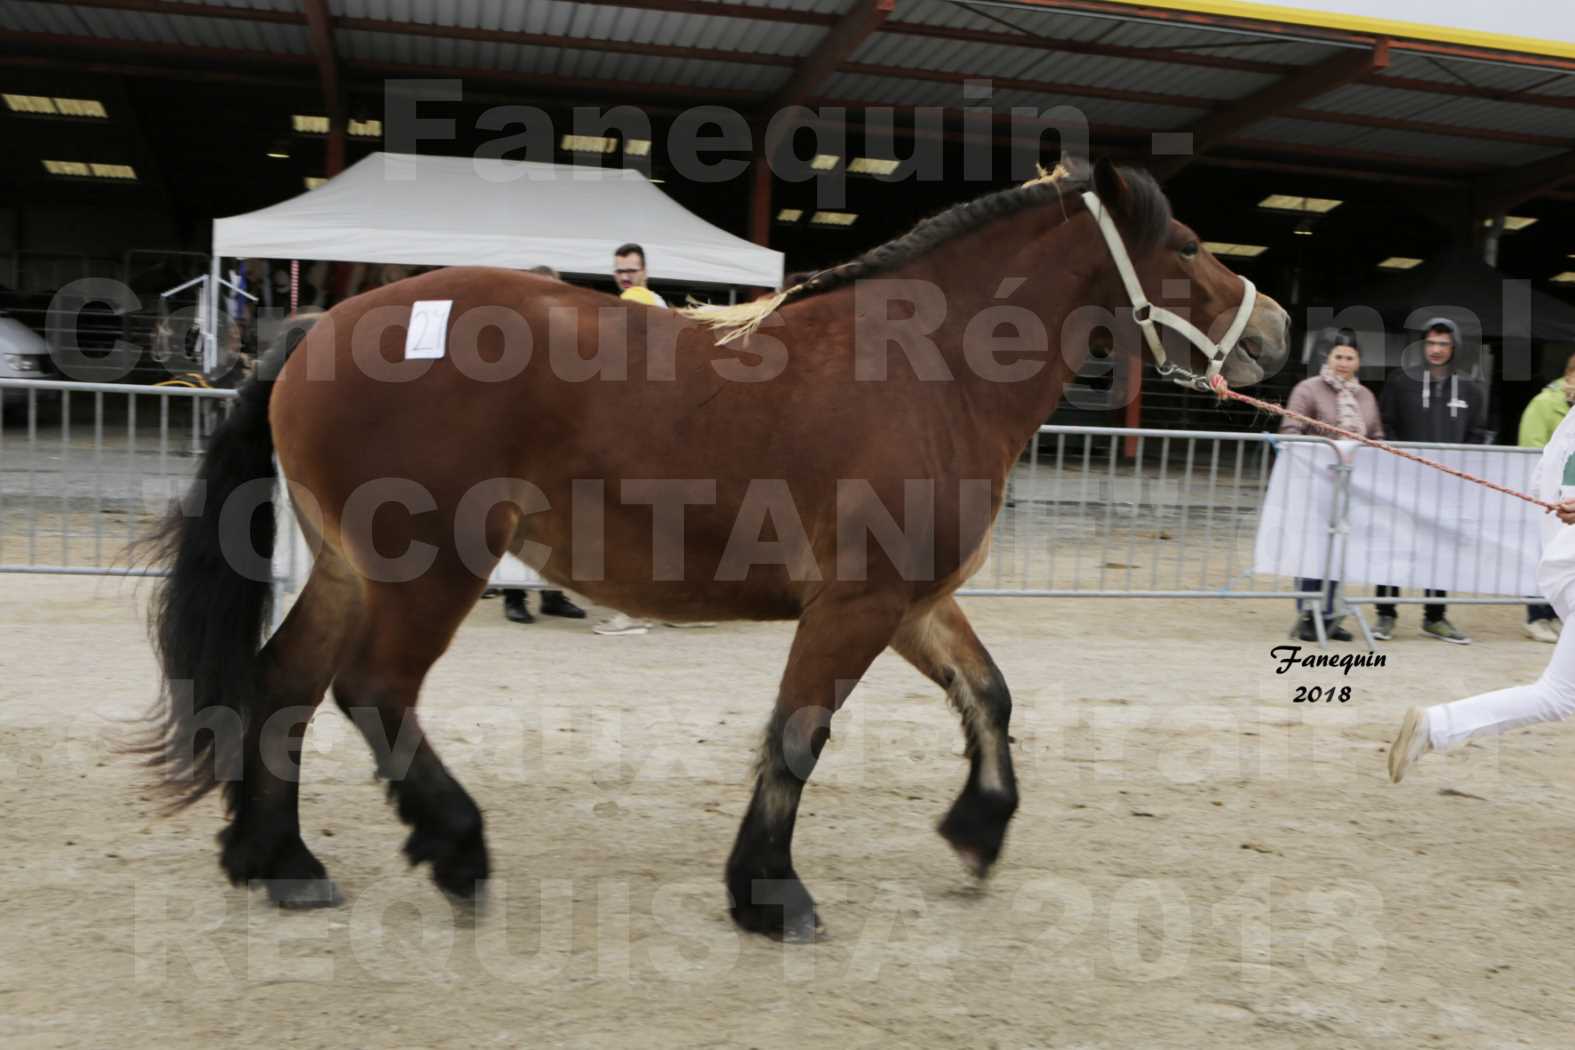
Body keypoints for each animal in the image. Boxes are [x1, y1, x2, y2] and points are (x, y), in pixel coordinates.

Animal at [141, 158, 1285, 944]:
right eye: (1187, 243)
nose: (1274, 331)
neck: (928, 370)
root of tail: (320, 329)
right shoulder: (855, 609)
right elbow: (798, 736)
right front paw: (771, 894)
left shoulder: (911, 604)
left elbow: (988, 696)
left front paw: (979, 828)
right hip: (428, 572)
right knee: (372, 693)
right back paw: (455, 850)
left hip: (347, 570)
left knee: (281, 685)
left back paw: (278, 860)